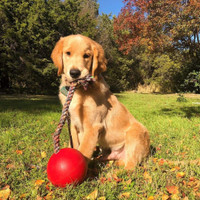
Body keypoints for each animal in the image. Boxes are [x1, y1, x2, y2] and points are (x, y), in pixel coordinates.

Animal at [50, 34, 149, 169]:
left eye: (86, 55)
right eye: (68, 53)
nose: (75, 73)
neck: (79, 91)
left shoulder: (92, 126)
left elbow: (83, 151)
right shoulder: (73, 123)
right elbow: (75, 145)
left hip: (135, 133)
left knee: (131, 166)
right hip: (108, 153)